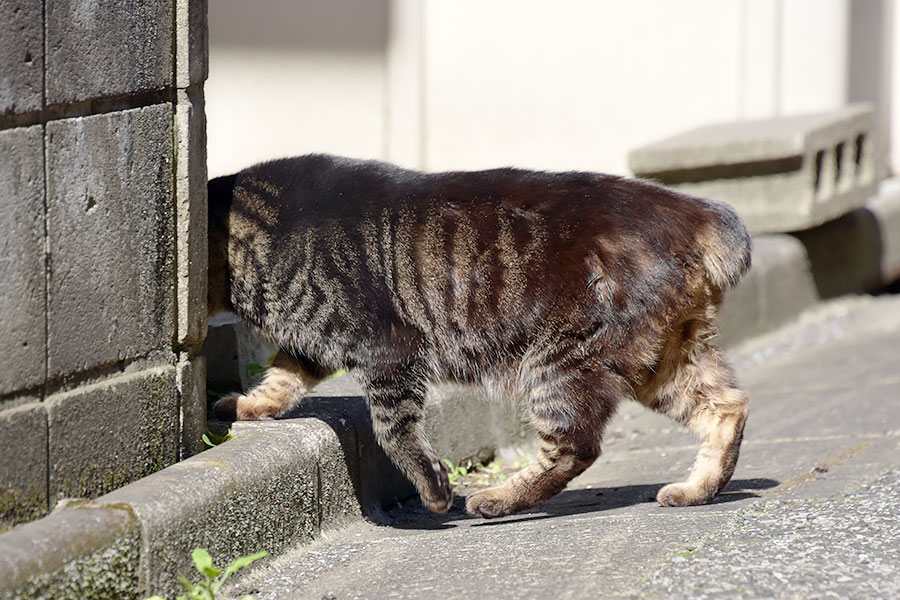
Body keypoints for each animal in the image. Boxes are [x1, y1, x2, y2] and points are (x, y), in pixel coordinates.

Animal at [209, 156, 752, 520]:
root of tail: (692, 209)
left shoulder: (386, 350)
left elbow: (394, 429)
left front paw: (433, 490)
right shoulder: (314, 345)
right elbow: (281, 378)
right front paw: (246, 406)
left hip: (561, 363)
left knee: (575, 447)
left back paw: (497, 499)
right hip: (664, 360)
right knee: (729, 406)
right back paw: (698, 489)